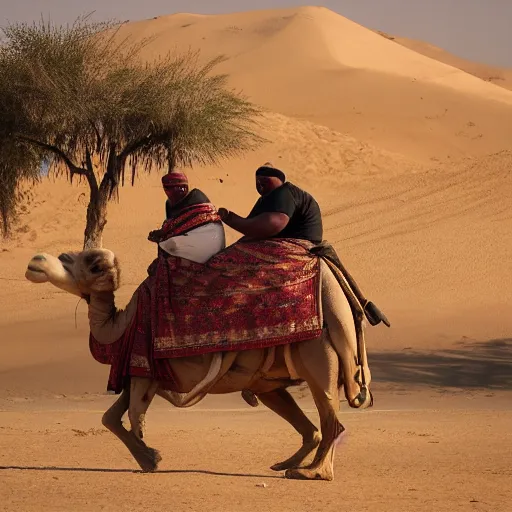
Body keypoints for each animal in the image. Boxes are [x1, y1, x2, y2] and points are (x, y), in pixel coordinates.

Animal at [24, 248, 372, 480]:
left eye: (87, 262)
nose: (37, 260)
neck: (122, 325)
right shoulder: (141, 371)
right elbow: (110, 417)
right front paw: (149, 459)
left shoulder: (147, 369)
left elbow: (132, 415)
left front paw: (148, 453)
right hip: (273, 378)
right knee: (308, 425)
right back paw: (287, 464)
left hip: (318, 355)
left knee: (330, 418)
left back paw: (314, 472)